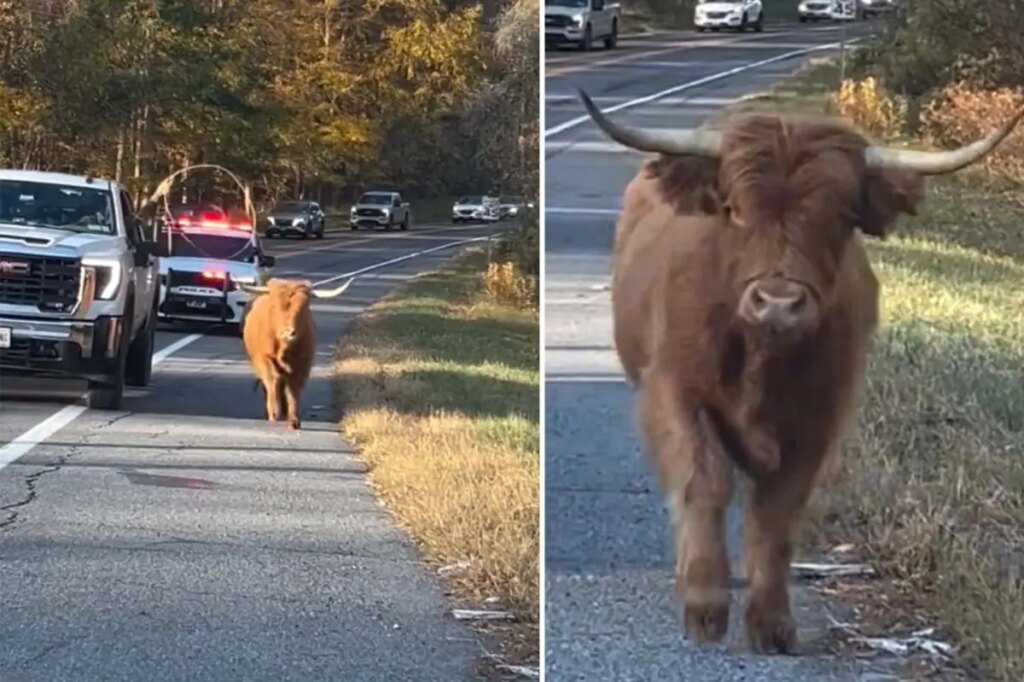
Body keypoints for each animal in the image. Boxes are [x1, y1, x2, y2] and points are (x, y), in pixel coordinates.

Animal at [238, 277, 355, 430]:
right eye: (275, 306)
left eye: (304, 307)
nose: (288, 333)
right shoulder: (263, 360)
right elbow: (272, 381)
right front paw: (274, 412)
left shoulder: (302, 366)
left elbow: (293, 391)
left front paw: (293, 420)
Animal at [578, 88, 1024, 654]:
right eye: (734, 209)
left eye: (840, 216)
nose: (778, 302)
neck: (762, 361)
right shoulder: (675, 392)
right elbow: (704, 485)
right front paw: (705, 606)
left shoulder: (820, 419)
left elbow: (776, 514)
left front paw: (771, 622)